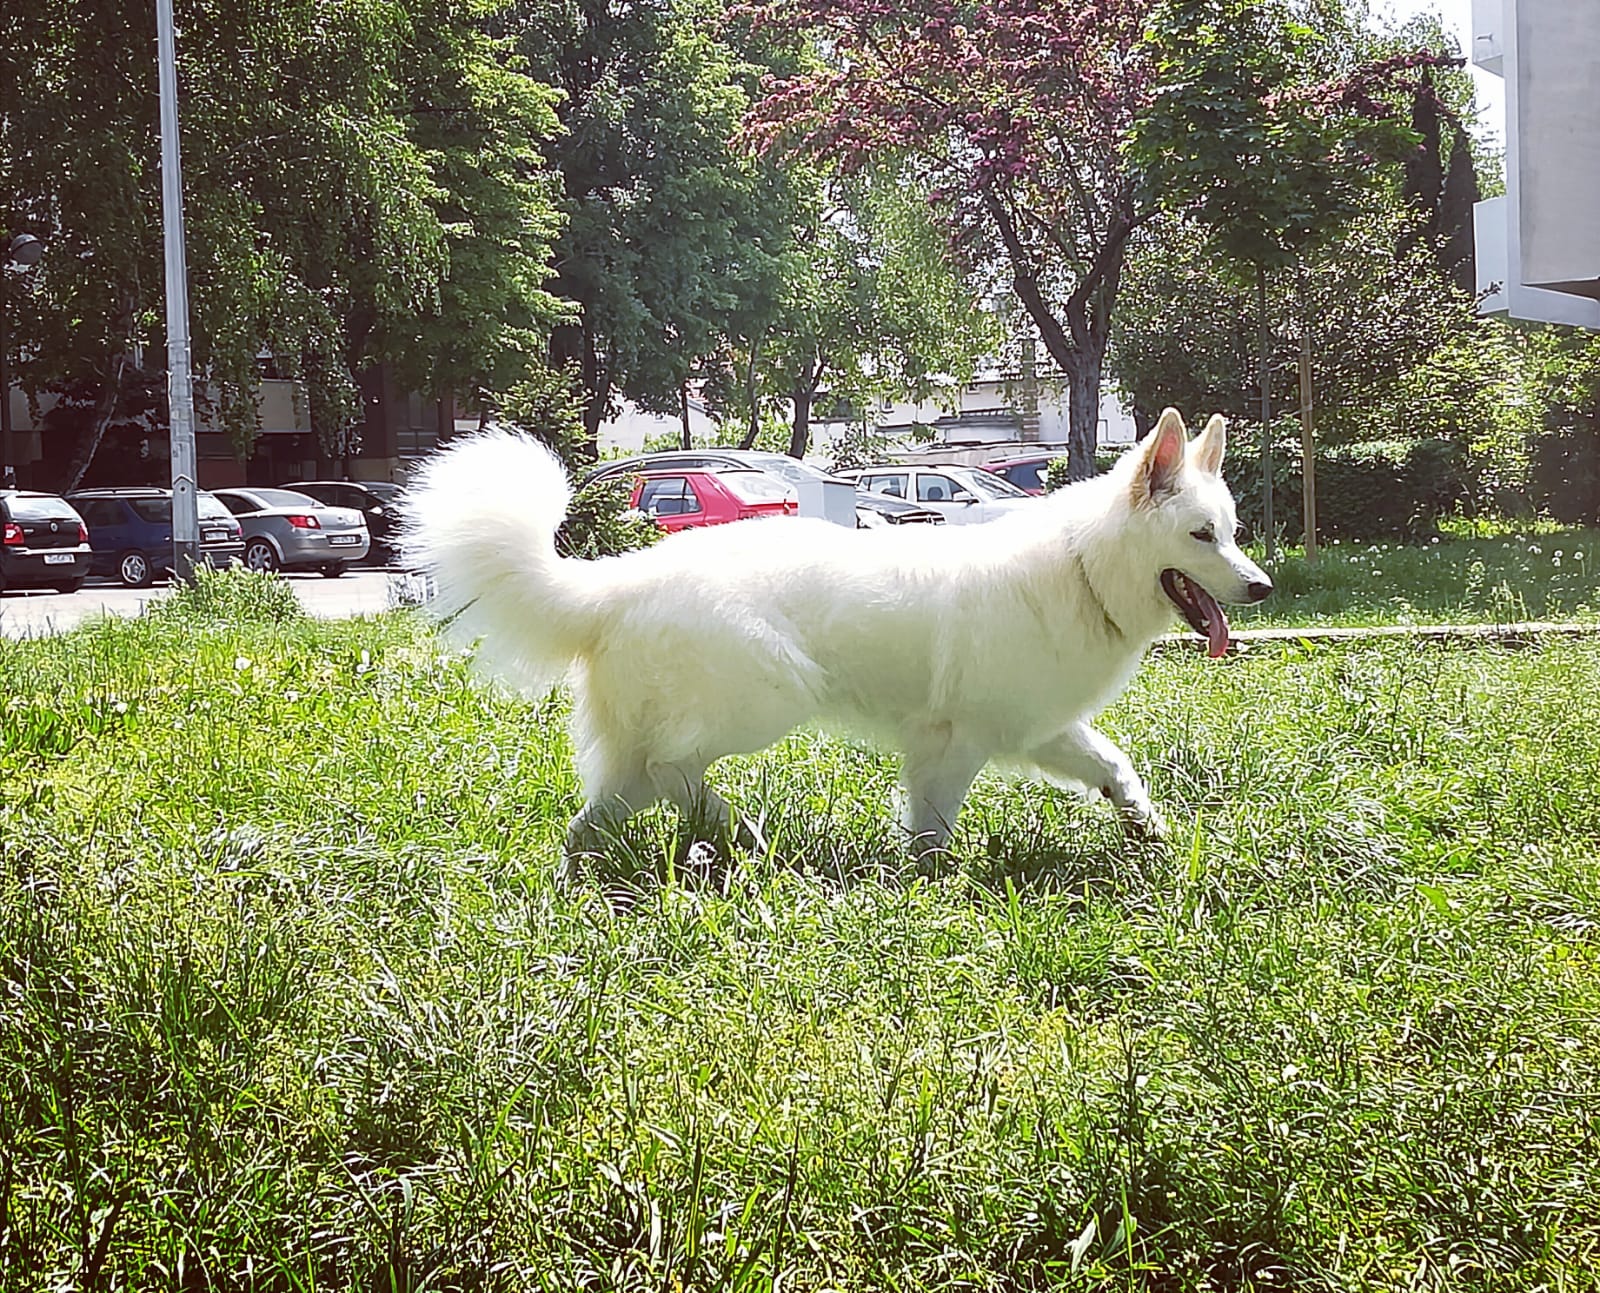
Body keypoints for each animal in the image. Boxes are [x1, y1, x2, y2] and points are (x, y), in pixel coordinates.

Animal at [406, 409, 1267, 851]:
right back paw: (734, 824)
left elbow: (1114, 764)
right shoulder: (955, 746)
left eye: (1231, 532)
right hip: (769, 696)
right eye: (1201, 536)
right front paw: (927, 884)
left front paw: (1146, 827)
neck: (1084, 565)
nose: (1260, 586)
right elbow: (932, 830)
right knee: (670, 770)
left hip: (661, 747)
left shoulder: (1038, 727)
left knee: (604, 809)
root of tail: (615, 584)